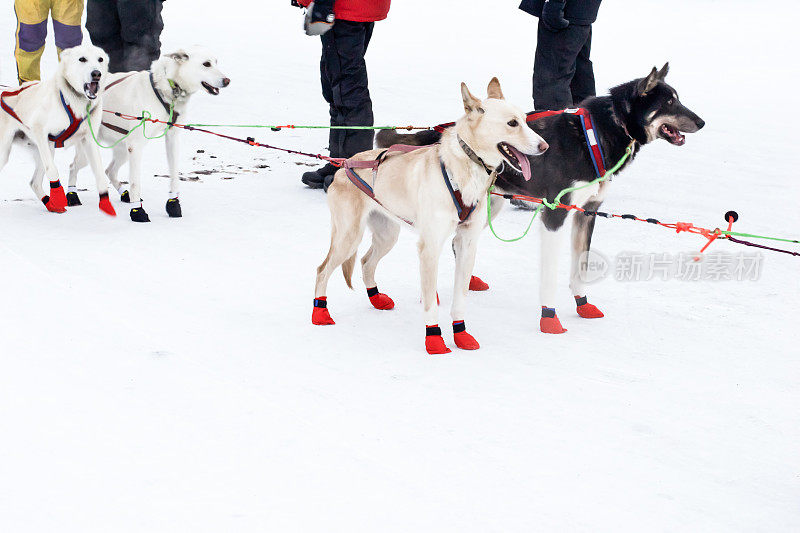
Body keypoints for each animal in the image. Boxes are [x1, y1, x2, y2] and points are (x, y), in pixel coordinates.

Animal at [0, 42, 115, 215]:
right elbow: (52, 170)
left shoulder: (89, 140)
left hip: (50, 151)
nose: (97, 73)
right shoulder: (40, 131)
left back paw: (50, 204)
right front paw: (59, 195)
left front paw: (105, 202)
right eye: (82, 59)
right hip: (11, 152)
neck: (74, 101)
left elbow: (100, 174)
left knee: (34, 182)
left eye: (100, 59)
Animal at [67, 45, 230, 220]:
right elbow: (135, 183)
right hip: (90, 152)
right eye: (206, 64)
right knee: (73, 166)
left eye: (216, 62)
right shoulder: (136, 146)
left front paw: (173, 204)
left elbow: (174, 175)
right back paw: (72, 195)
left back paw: (124, 193)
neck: (166, 89)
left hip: (123, 150)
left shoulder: (172, 138)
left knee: (109, 171)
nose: (227, 80)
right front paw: (137, 211)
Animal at [314, 78, 552, 354]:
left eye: (525, 119)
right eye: (512, 123)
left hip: (387, 236)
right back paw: (320, 313)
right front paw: (434, 340)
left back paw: (377, 299)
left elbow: (460, 298)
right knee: (322, 269)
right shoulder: (429, 248)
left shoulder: (467, 244)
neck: (462, 171)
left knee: (365, 262)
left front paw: (461, 334)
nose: (545, 146)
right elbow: (430, 303)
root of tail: (344, 165)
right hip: (349, 237)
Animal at [378, 65, 704, 332]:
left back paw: (468, 280)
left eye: (677, 99)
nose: (701, 122)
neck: (594, 136)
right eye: (669, 103)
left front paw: (582, 303)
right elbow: (549, 276)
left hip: (488, 207)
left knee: (459, 245)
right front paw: (550, 317)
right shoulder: (555, 213)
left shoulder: (587, 212)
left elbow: (580, 268)